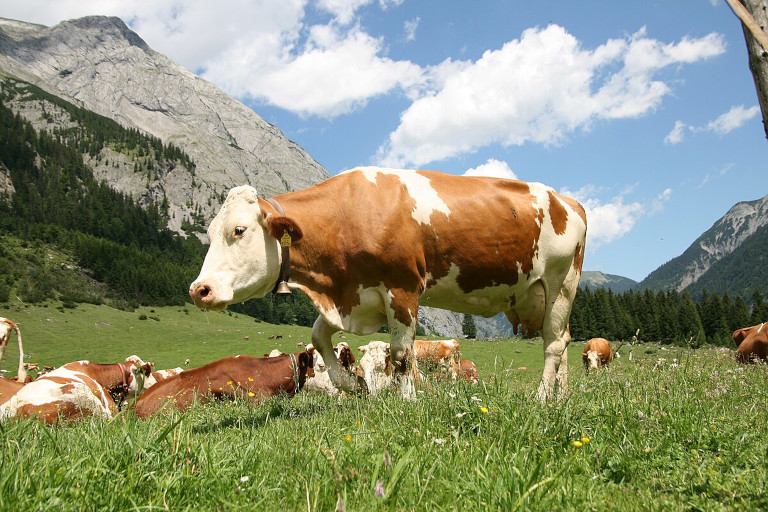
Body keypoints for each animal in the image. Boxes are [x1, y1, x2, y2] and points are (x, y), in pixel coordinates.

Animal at [189, 168, 584, 400]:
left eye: (238, 230)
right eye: (209, 231)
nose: (198, 290)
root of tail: (567, 200)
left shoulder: (403, 288)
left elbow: (402, 356)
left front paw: (407, 401)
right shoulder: (354, 297)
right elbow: (319, 337)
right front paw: (354, 384)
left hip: (561, 283)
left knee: (552, 345)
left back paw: (541, 397)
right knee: (562, 341)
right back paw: (561, 397)